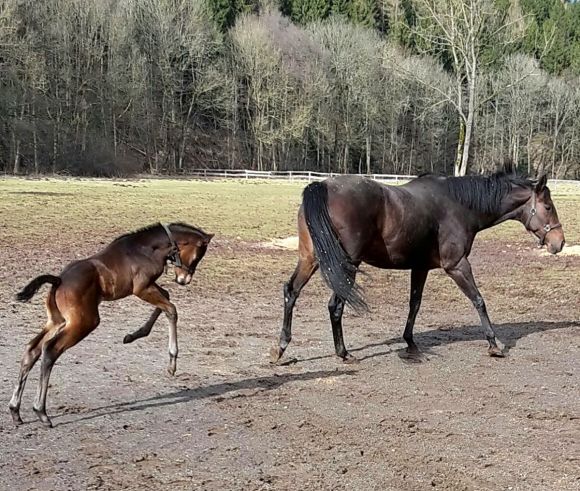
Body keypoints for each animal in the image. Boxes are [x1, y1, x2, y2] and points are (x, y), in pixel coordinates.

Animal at [9, 223, 213, 426]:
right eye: (197, 256)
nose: (184, 280)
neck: (147, 248)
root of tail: (58, 280)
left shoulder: (149, 286)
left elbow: (167, 298)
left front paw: (132, 336)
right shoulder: (141, 288)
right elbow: (171, 309)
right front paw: (172, 363)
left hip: (58, 321)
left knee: (32, 349)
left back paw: (15, 411)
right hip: (84, 322)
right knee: (50, 350)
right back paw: (41, 412)